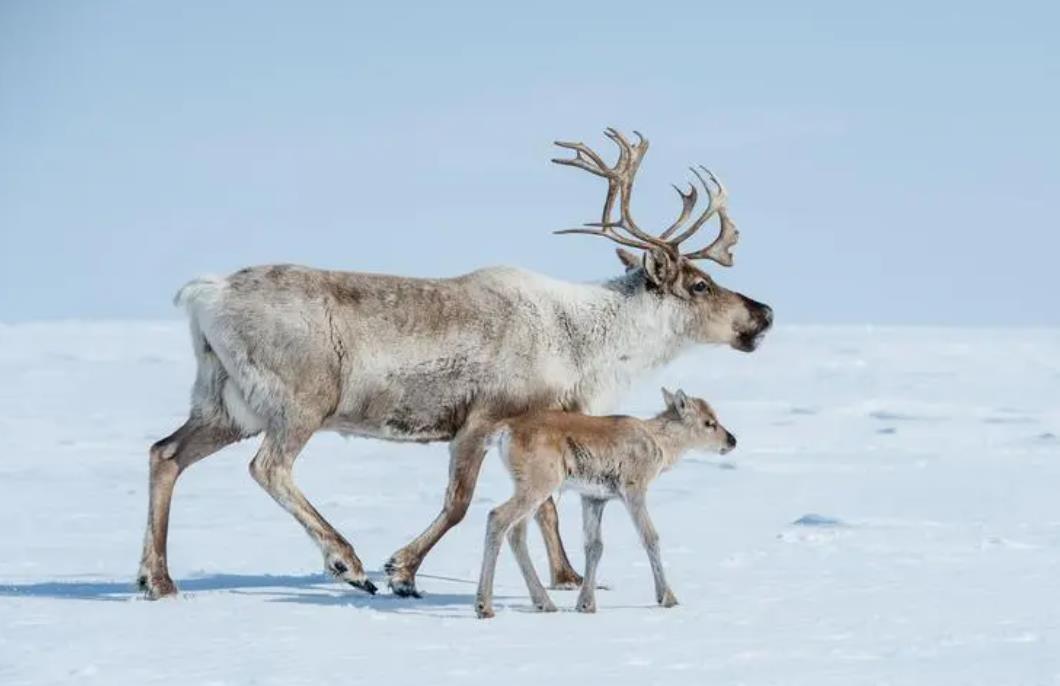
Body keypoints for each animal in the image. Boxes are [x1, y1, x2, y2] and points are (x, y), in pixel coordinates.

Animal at [476, 390, 733, 619]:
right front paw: (667, 598)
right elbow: (650, 537)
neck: (659, 444)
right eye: (709, 422)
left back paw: (544, 603)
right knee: (497, 517)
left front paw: (586, 604)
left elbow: (594, 546)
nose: (732, 440)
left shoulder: (594, 498)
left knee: (516, 532)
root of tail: (505, 430)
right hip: (539, 484)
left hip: (531, 488)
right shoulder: (634, 488)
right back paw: (484, 606)